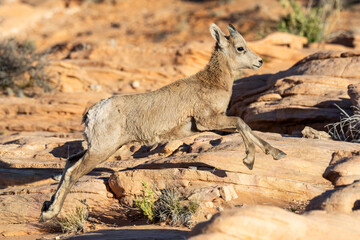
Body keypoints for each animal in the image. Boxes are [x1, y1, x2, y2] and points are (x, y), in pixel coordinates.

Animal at [40, 23, 286, 221]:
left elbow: (246, 127)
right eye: (240, 48)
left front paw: (277, 154)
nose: (260, 61)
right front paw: (249, 160)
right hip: (101, 150)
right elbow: (241, 123)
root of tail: (93, 112)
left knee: (69, 162)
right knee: (73, 173)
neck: (212, 82)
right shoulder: (207, 121)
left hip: (101, 148)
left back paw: (46, 208)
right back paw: (50, 214)